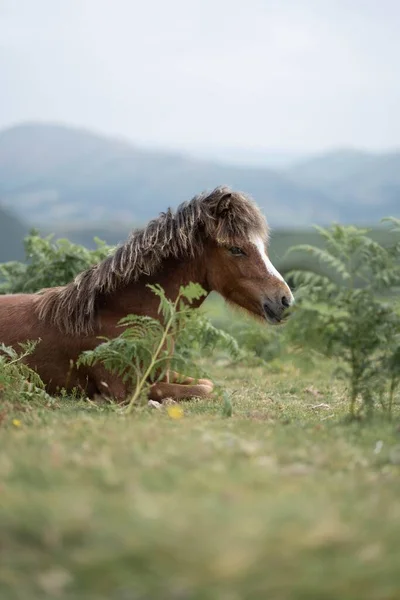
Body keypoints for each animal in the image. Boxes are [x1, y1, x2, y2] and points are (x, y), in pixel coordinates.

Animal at [0, 186, 294, 404]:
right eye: (235, 249)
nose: (285, 300)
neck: (123, 314)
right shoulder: (124, 389)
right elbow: (200, 389)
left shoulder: (163, 372)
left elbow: (206, 383)